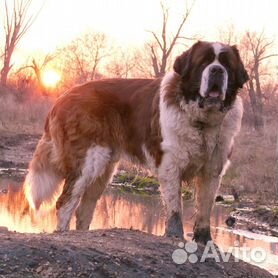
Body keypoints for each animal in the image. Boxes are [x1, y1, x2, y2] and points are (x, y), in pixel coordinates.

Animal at [25, 40, 249, 243]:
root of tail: (62, 96)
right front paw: (175, 236)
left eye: (227, 65)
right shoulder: (170, 164)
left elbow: (205, 209)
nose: (217, 70)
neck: (202, 121)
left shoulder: (213, 170)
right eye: (203, 62)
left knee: (84, 207)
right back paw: (62, 233)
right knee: (65, 202)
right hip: (87, 162)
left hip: (104, 169)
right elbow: (175, 207)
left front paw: (204, 242)